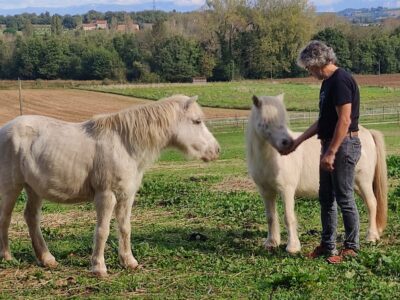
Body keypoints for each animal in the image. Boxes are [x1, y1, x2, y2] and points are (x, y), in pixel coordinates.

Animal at [0, 95, 219, 276]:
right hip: (11, 187)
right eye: (197, 121)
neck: (124, 145)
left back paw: (47, 259)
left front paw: (129, 262)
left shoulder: (126, 195)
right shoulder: (106, 195)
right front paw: (98, 267)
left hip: (33, 189)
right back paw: (8, 257)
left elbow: (125, 228)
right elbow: (102, 230)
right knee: (6, 218)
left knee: (31, 218)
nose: (216, 150)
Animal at [247, 95, 388, 253]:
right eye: (265, 123)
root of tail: (368, 133)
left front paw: (293, 247)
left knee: (372, 203)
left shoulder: (287, 190)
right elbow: (271, 217)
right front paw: (271, 242)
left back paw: (371, 237)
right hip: (355, 185)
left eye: (283, 120)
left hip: (363, 182)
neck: (270, 158)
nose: (287, 143)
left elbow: (288, 217)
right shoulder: (266, 192)